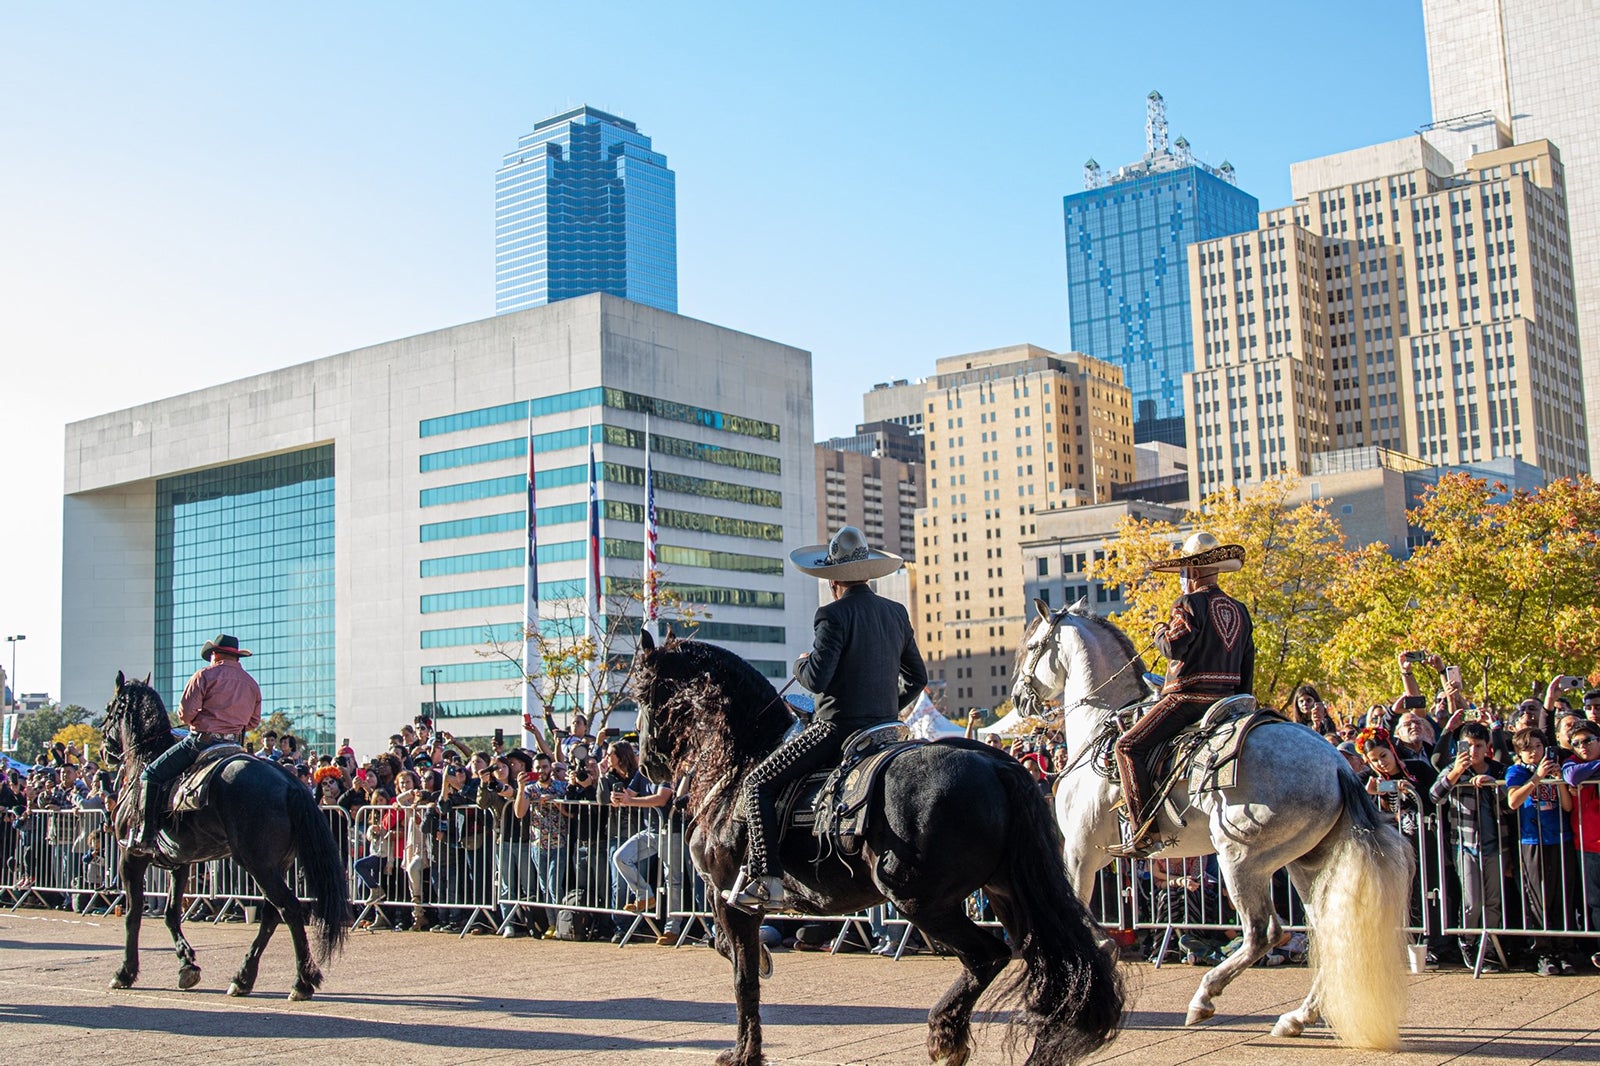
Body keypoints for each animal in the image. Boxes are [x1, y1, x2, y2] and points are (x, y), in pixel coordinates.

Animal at [103, 672, 350, 998]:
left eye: (109, 709)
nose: (105, 748)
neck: (145, 759)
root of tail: (288, 783)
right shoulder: (180, 862)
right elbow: (171, 913)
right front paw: (187, 966)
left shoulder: (130, 857)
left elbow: (133, 915)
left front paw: (125, 972)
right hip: (276, 864)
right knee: (272, 914)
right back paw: (243, 977)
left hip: (257, 864)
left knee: (289, 909)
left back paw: (301, 981)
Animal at [627, 630, 1126, 1062]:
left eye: (641, 691)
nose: (648, 762)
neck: (742, 762)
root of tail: (994, 763)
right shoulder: (726, 901)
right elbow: (730, 955)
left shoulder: (731, 899)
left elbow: (742, 976)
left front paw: (744, 1051)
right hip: (1007, 892)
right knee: (1046, 960)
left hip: (919, 900)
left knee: (989, 955)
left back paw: (945, 1033)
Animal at [1011, 598, 1414, 1043]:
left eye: (1033, 646)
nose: (1018, 698)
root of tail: (1339, 768)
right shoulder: (1092, 854)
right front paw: (1103, 952)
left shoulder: (1082, 851)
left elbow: (1073, 913)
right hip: (1305, 862)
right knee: (1329, 931)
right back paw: (1297, 1017)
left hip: (1240, 858)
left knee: (1264, 933)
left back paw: (1205, 997)